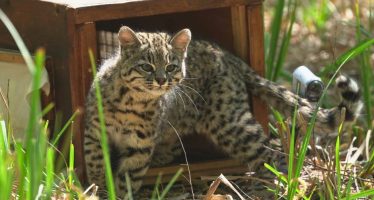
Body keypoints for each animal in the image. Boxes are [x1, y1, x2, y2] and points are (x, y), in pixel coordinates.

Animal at [82, 25, 362, 198]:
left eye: (171, 67)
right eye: (146, 66)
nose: (162, 80)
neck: (131, 103)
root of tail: (230, 57)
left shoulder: (140, 147)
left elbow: (127, 179)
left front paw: (115, 193)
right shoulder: (94, 132)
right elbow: (96, 164)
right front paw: (97, 188)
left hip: (230, 122)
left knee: (269, 150)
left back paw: (277, 185)